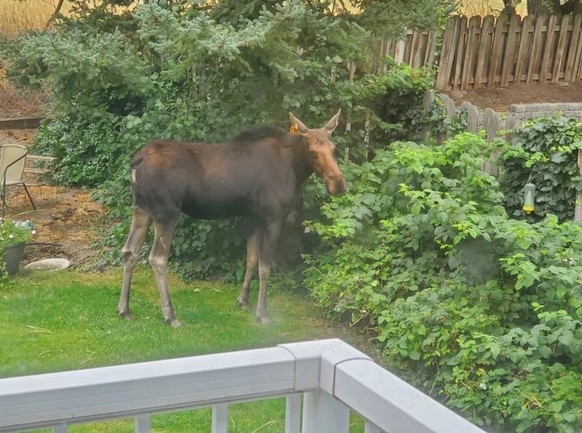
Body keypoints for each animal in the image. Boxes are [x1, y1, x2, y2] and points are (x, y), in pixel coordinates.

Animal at [118, 109, 346, 326]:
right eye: (313, 152)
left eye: (333, 148)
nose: (339, 184)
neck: (294, 168)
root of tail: (137, 161)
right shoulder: (272, 217)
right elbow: (265, 267)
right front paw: (262, 314)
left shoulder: (253, 216)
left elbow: (251, 259)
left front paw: (243, 301)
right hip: (166, 211)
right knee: (157, 258)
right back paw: (170, 316)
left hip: (141, 207)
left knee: (130, 251)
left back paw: (124, 309)